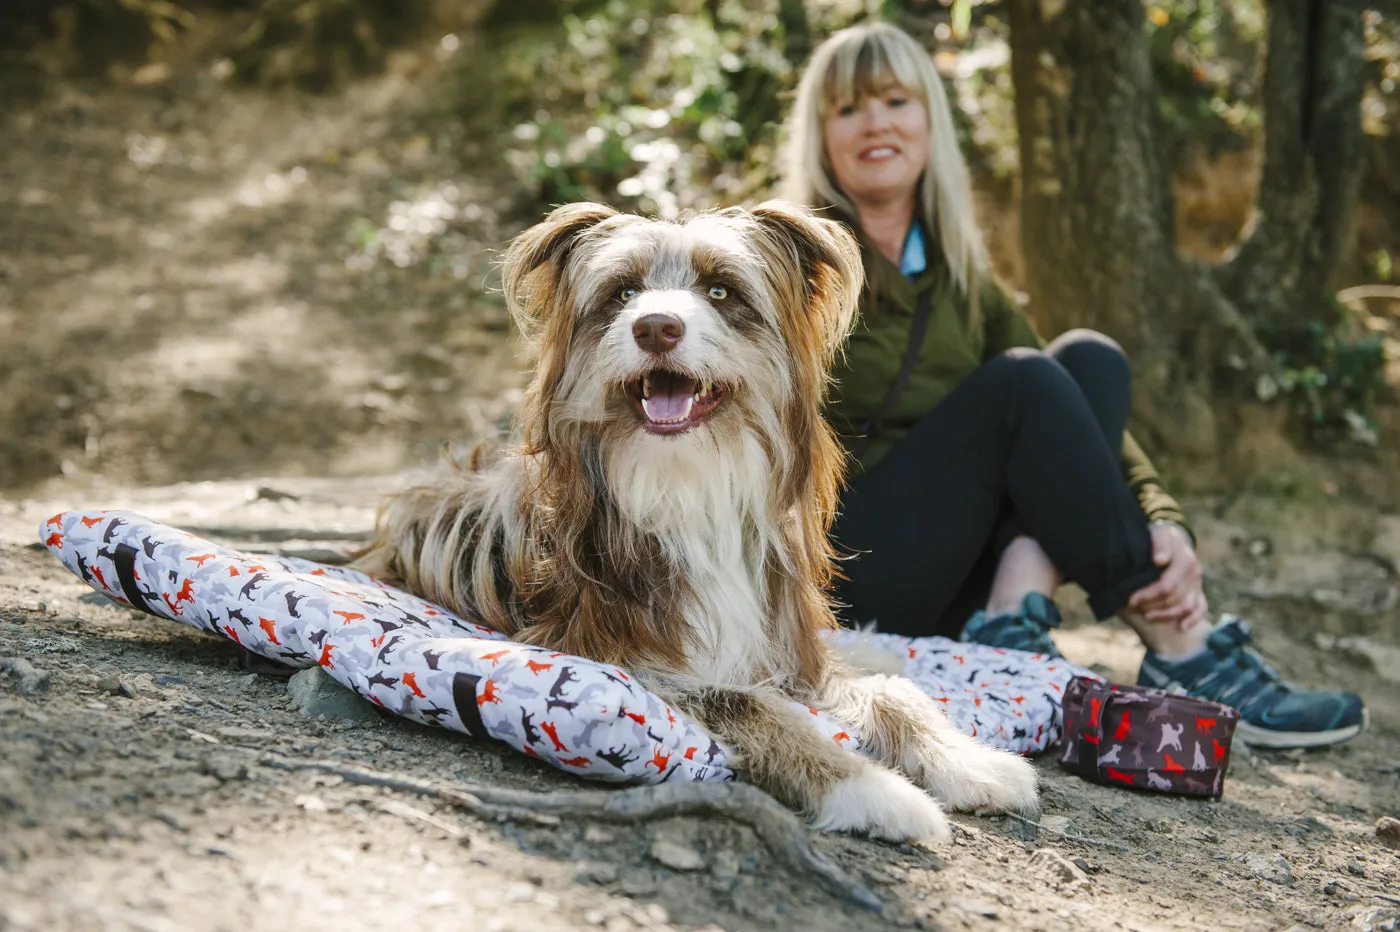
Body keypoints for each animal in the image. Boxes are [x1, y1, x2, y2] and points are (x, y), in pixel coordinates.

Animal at [358, 200, 1041, 839]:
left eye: (721, 291)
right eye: (622, 293)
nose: (656, 327)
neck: (686, 484)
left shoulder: (782, 647)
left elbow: (890, 695)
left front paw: (966, 761)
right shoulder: (610, 654)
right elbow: (749, 705)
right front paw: (869, 789)